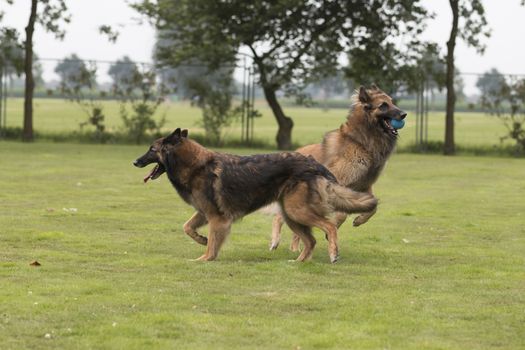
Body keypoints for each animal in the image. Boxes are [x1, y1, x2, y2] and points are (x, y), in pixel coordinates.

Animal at [132, 129, 376, 262]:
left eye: (152, 149)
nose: (135, 162)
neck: (196, 166)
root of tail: (314, 164)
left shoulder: (217, 218)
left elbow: (212, 245)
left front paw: (203, 259)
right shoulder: (204, 212)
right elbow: (187, 228)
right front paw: (201, 240)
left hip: (297, 211)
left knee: (329, 226)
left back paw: (333, 253)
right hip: (291, 215)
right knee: (311, 240)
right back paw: (298, 261)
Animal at [268, 87, 408, 252]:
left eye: (392, 102)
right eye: (383, 105)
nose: (404, 114)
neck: (361, 142)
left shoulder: (364, 186)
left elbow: (373, 208)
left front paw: (359, 220)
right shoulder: (338, 184)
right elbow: (342, 214)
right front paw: (332, 230)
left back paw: (295, 248)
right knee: (279, 217)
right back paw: (275, 241)